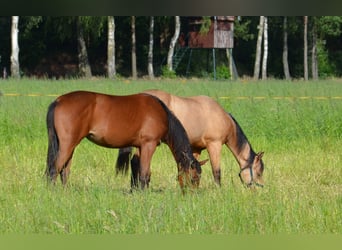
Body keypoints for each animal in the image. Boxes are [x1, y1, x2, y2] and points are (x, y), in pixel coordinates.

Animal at [46, 91, 204, 190]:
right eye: (194, 178)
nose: (192, 195)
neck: (162, 114)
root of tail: (59, 100)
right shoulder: (149, 145)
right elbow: (144, 174)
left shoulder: (140, 146)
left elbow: (139, 170)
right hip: (67, 145)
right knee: (54, 170)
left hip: (70, 146)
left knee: (64, 171)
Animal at [115, 90, 264, 188]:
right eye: (259, 172)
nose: (259, 190)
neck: (222, 118)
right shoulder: (214, 145)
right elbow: (216, 171)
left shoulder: (196, 148)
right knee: (136, 161)